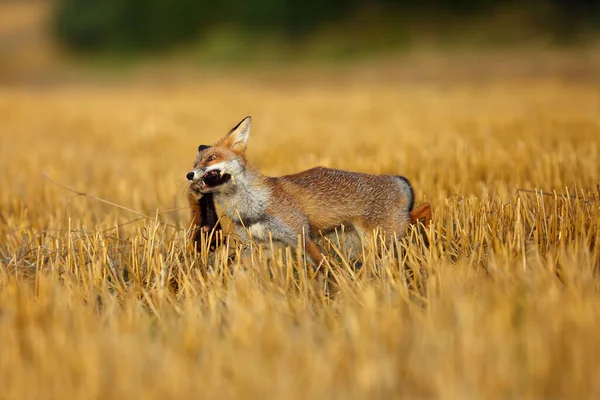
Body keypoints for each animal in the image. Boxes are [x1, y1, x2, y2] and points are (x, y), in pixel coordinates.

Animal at [185, 116, 428, 266]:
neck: (252, 207)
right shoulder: (262, 246)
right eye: (196, 163)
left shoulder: (300, 236)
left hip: (382, 239)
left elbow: (324, 269)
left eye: (212, 158)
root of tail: (398, 179)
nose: (189, 175)